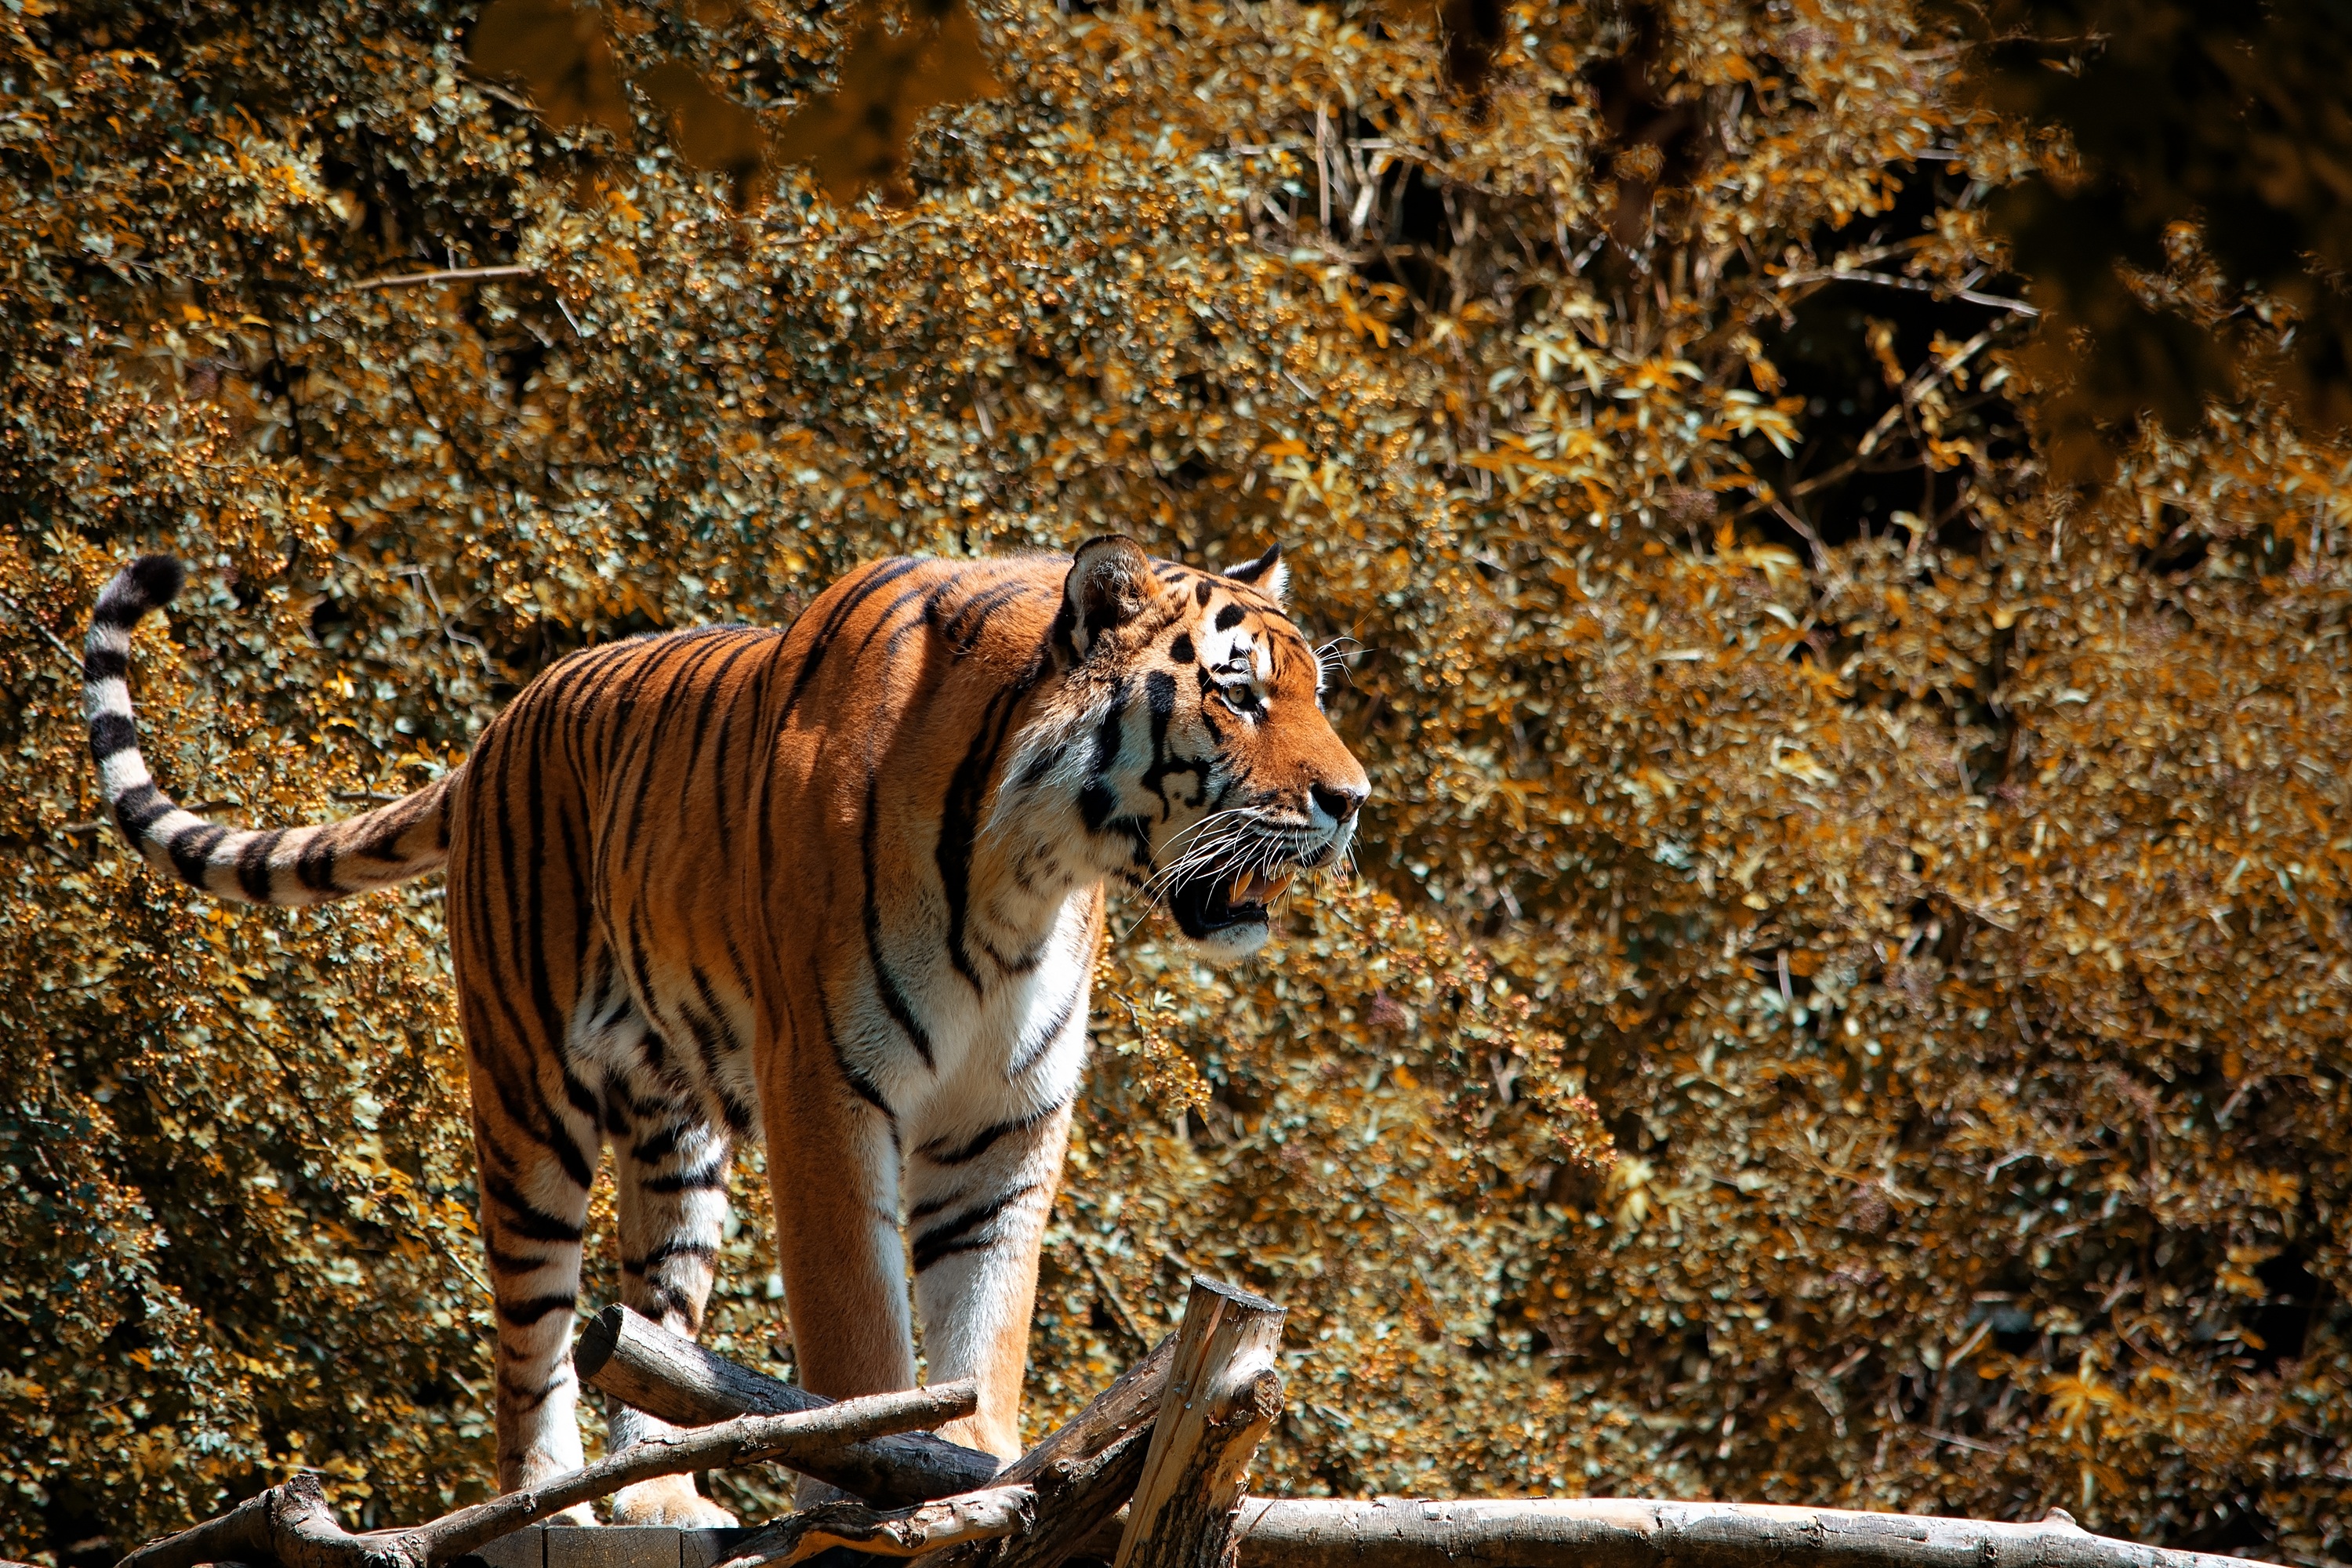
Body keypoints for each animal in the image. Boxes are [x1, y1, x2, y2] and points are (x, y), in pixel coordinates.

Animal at [82, 535, 1374, 1523]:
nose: (1353, 800)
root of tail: (495, 731)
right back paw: (542, 1499)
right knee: (533, 1329)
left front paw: (986, 1472)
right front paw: (874, 1490)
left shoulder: (1007, 1118)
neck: (1034, 869)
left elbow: (986, 1317)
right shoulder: (829, 1089)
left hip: (678, 1139)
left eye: (1314, 691)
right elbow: (861, 1335)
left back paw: (659, 1494)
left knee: (650, 1327)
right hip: (527, 1100)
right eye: (1239, 691)